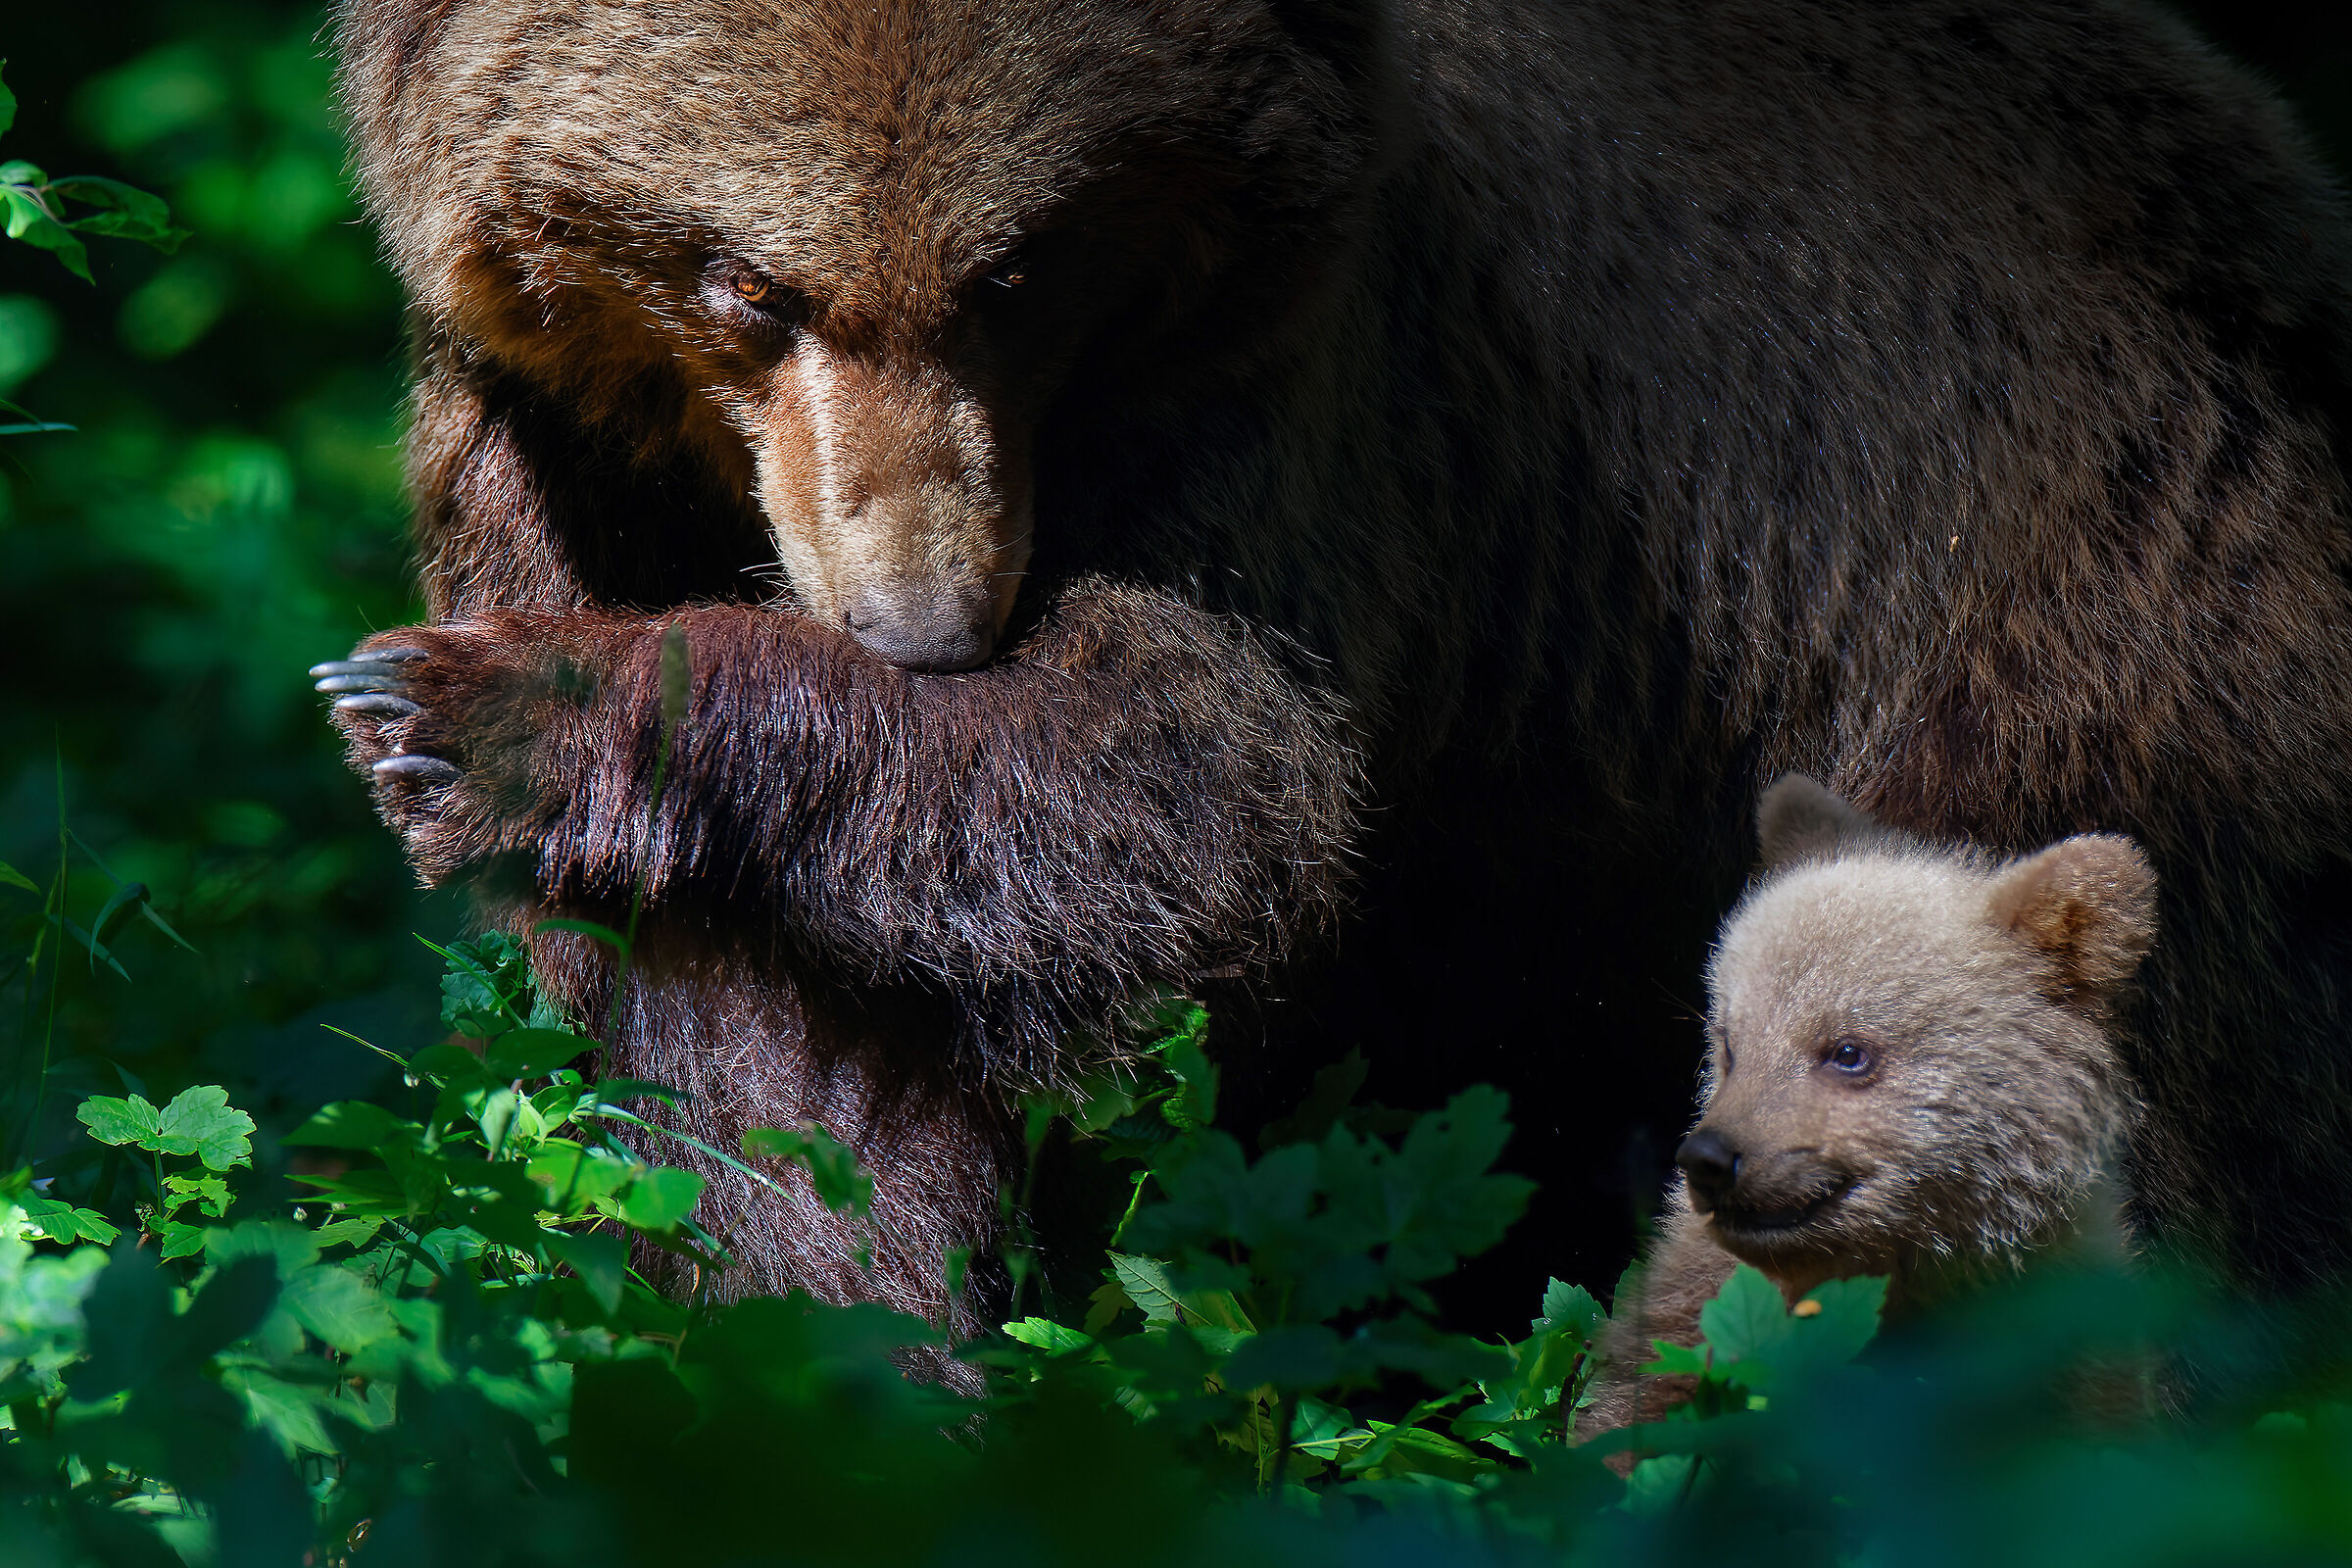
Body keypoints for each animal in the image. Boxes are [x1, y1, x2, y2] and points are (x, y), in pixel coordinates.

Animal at [319, 0, 2352, 1339]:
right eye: (750, 285)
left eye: (1014, 273)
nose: (925, 622)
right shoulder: (548, 437)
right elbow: (734, 1026)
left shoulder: (1315, 388)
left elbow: (1195, 783)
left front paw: (475, 714)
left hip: (2073, 627)